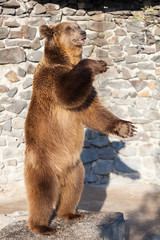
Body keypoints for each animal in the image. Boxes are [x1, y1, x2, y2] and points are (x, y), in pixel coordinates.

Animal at [24, 21, 136, 235]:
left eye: (78, 25)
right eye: (70, 27)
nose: (83, 32)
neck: (66, 60)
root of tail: (60, 172)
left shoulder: (86, 94)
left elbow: (93, 111)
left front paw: (126, 128)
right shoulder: (51, 78)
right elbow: (66, 93)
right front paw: (98, 63)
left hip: (75, 167)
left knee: (73, 189)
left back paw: (71, 213)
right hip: (43, 162)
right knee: (43, 194)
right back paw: (42, 226)